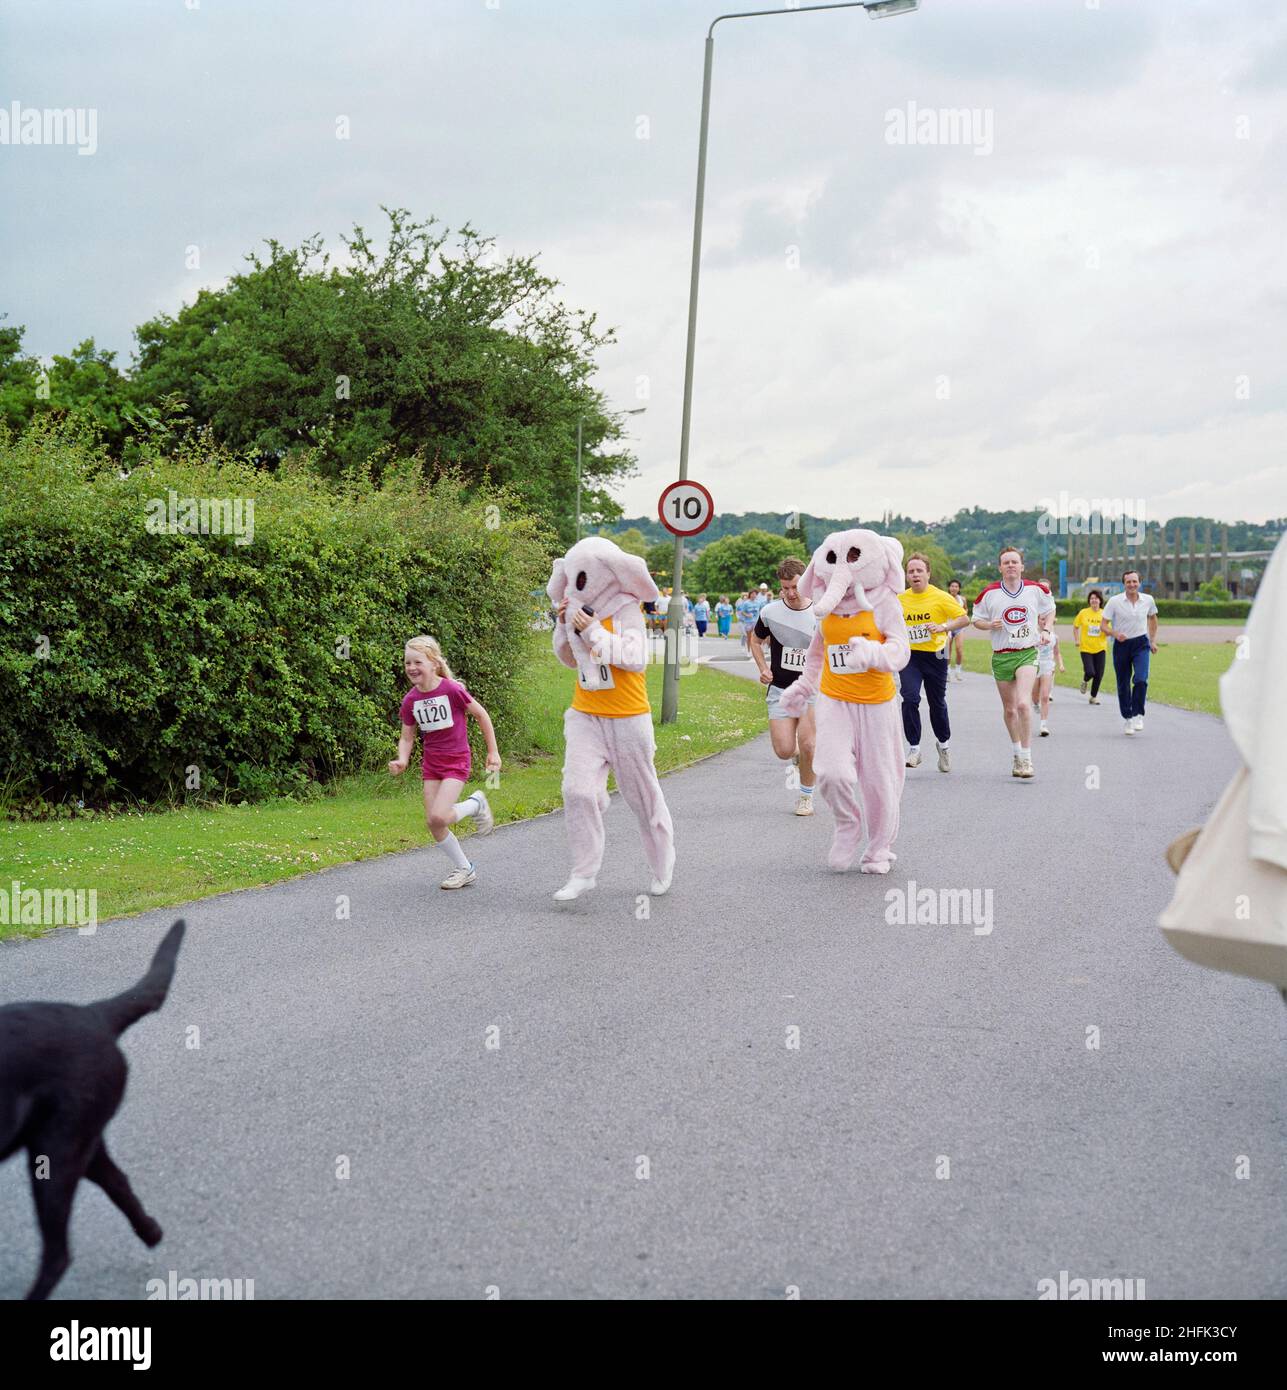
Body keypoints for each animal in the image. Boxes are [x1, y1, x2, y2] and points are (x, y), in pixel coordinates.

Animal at [0, 917, 186, 1295]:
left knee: (58, 1254)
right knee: (118, 1183)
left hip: (57, 1147)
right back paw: (151, 1232)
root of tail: (93, 1014)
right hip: (73, 1138)